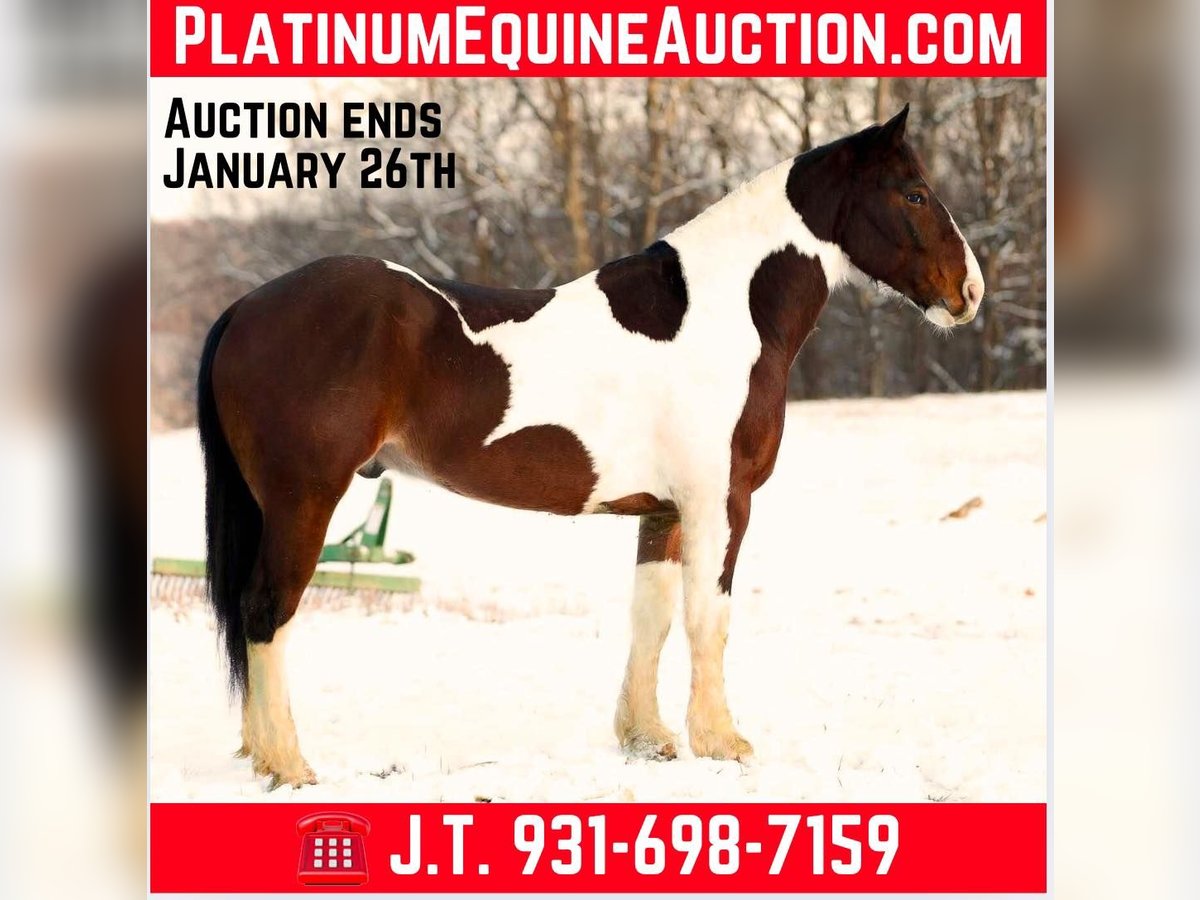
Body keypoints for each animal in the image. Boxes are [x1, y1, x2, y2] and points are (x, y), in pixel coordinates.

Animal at [197, 105, 984, 788]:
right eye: (915, 193)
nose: (969, 291)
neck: (722, 313)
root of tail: (246, 307)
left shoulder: (663, 510)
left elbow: (652, 615)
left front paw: (649, 739)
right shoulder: (720, 503)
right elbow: (709, 617)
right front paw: (723, 742)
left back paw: (260, 754)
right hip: (304, 499)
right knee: (267, 609)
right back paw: (289, 766)